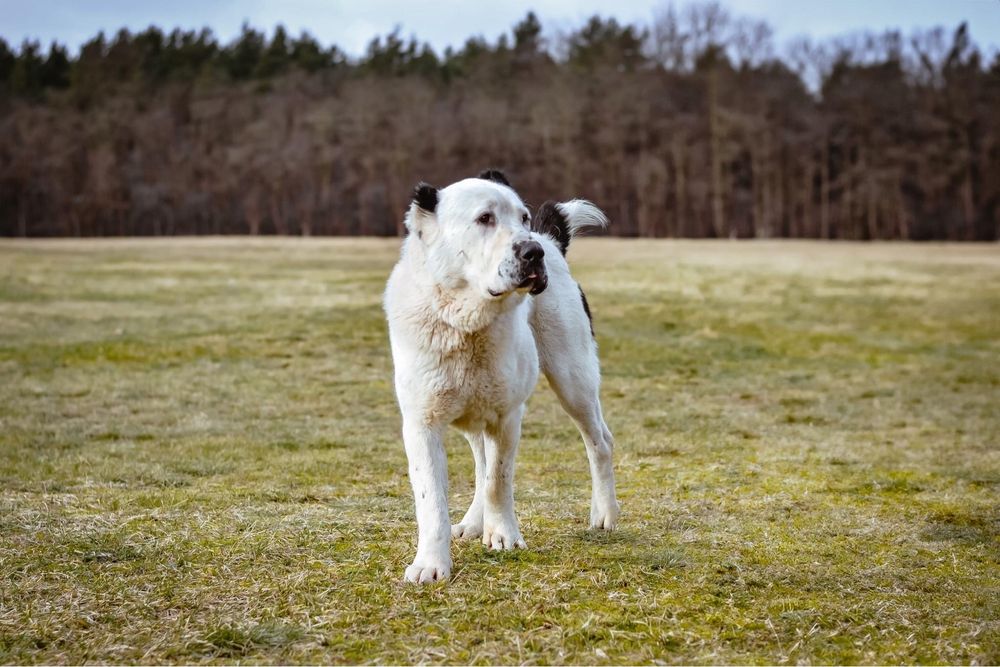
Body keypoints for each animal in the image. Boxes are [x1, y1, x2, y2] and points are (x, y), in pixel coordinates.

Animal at [382, 170, 616, 580]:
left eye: (523, 218)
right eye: (484, 219)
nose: (533, 251)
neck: (467, 324)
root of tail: (552, 240)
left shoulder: (507, 416)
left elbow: (499, 479)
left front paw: (503, 535)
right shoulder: (422, 424)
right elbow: (432, 500)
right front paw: (431, 563)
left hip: (574, 380)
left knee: (599, 442)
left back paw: (603, 514)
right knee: (480, 464)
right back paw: (474, 523)